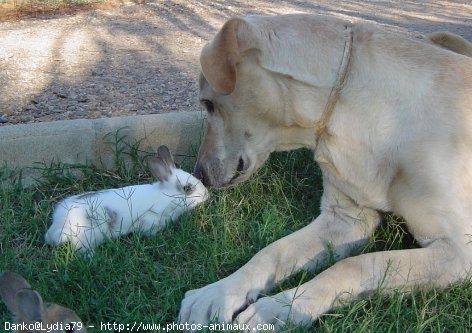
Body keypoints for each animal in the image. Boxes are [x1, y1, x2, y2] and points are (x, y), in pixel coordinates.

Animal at [179, 13, 470, 330]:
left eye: (208, 104)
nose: (199, 174)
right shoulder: (345, 219)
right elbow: (272, 251)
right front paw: (219, 292)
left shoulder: (458, 251)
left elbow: (354, 264)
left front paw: (277, 309)